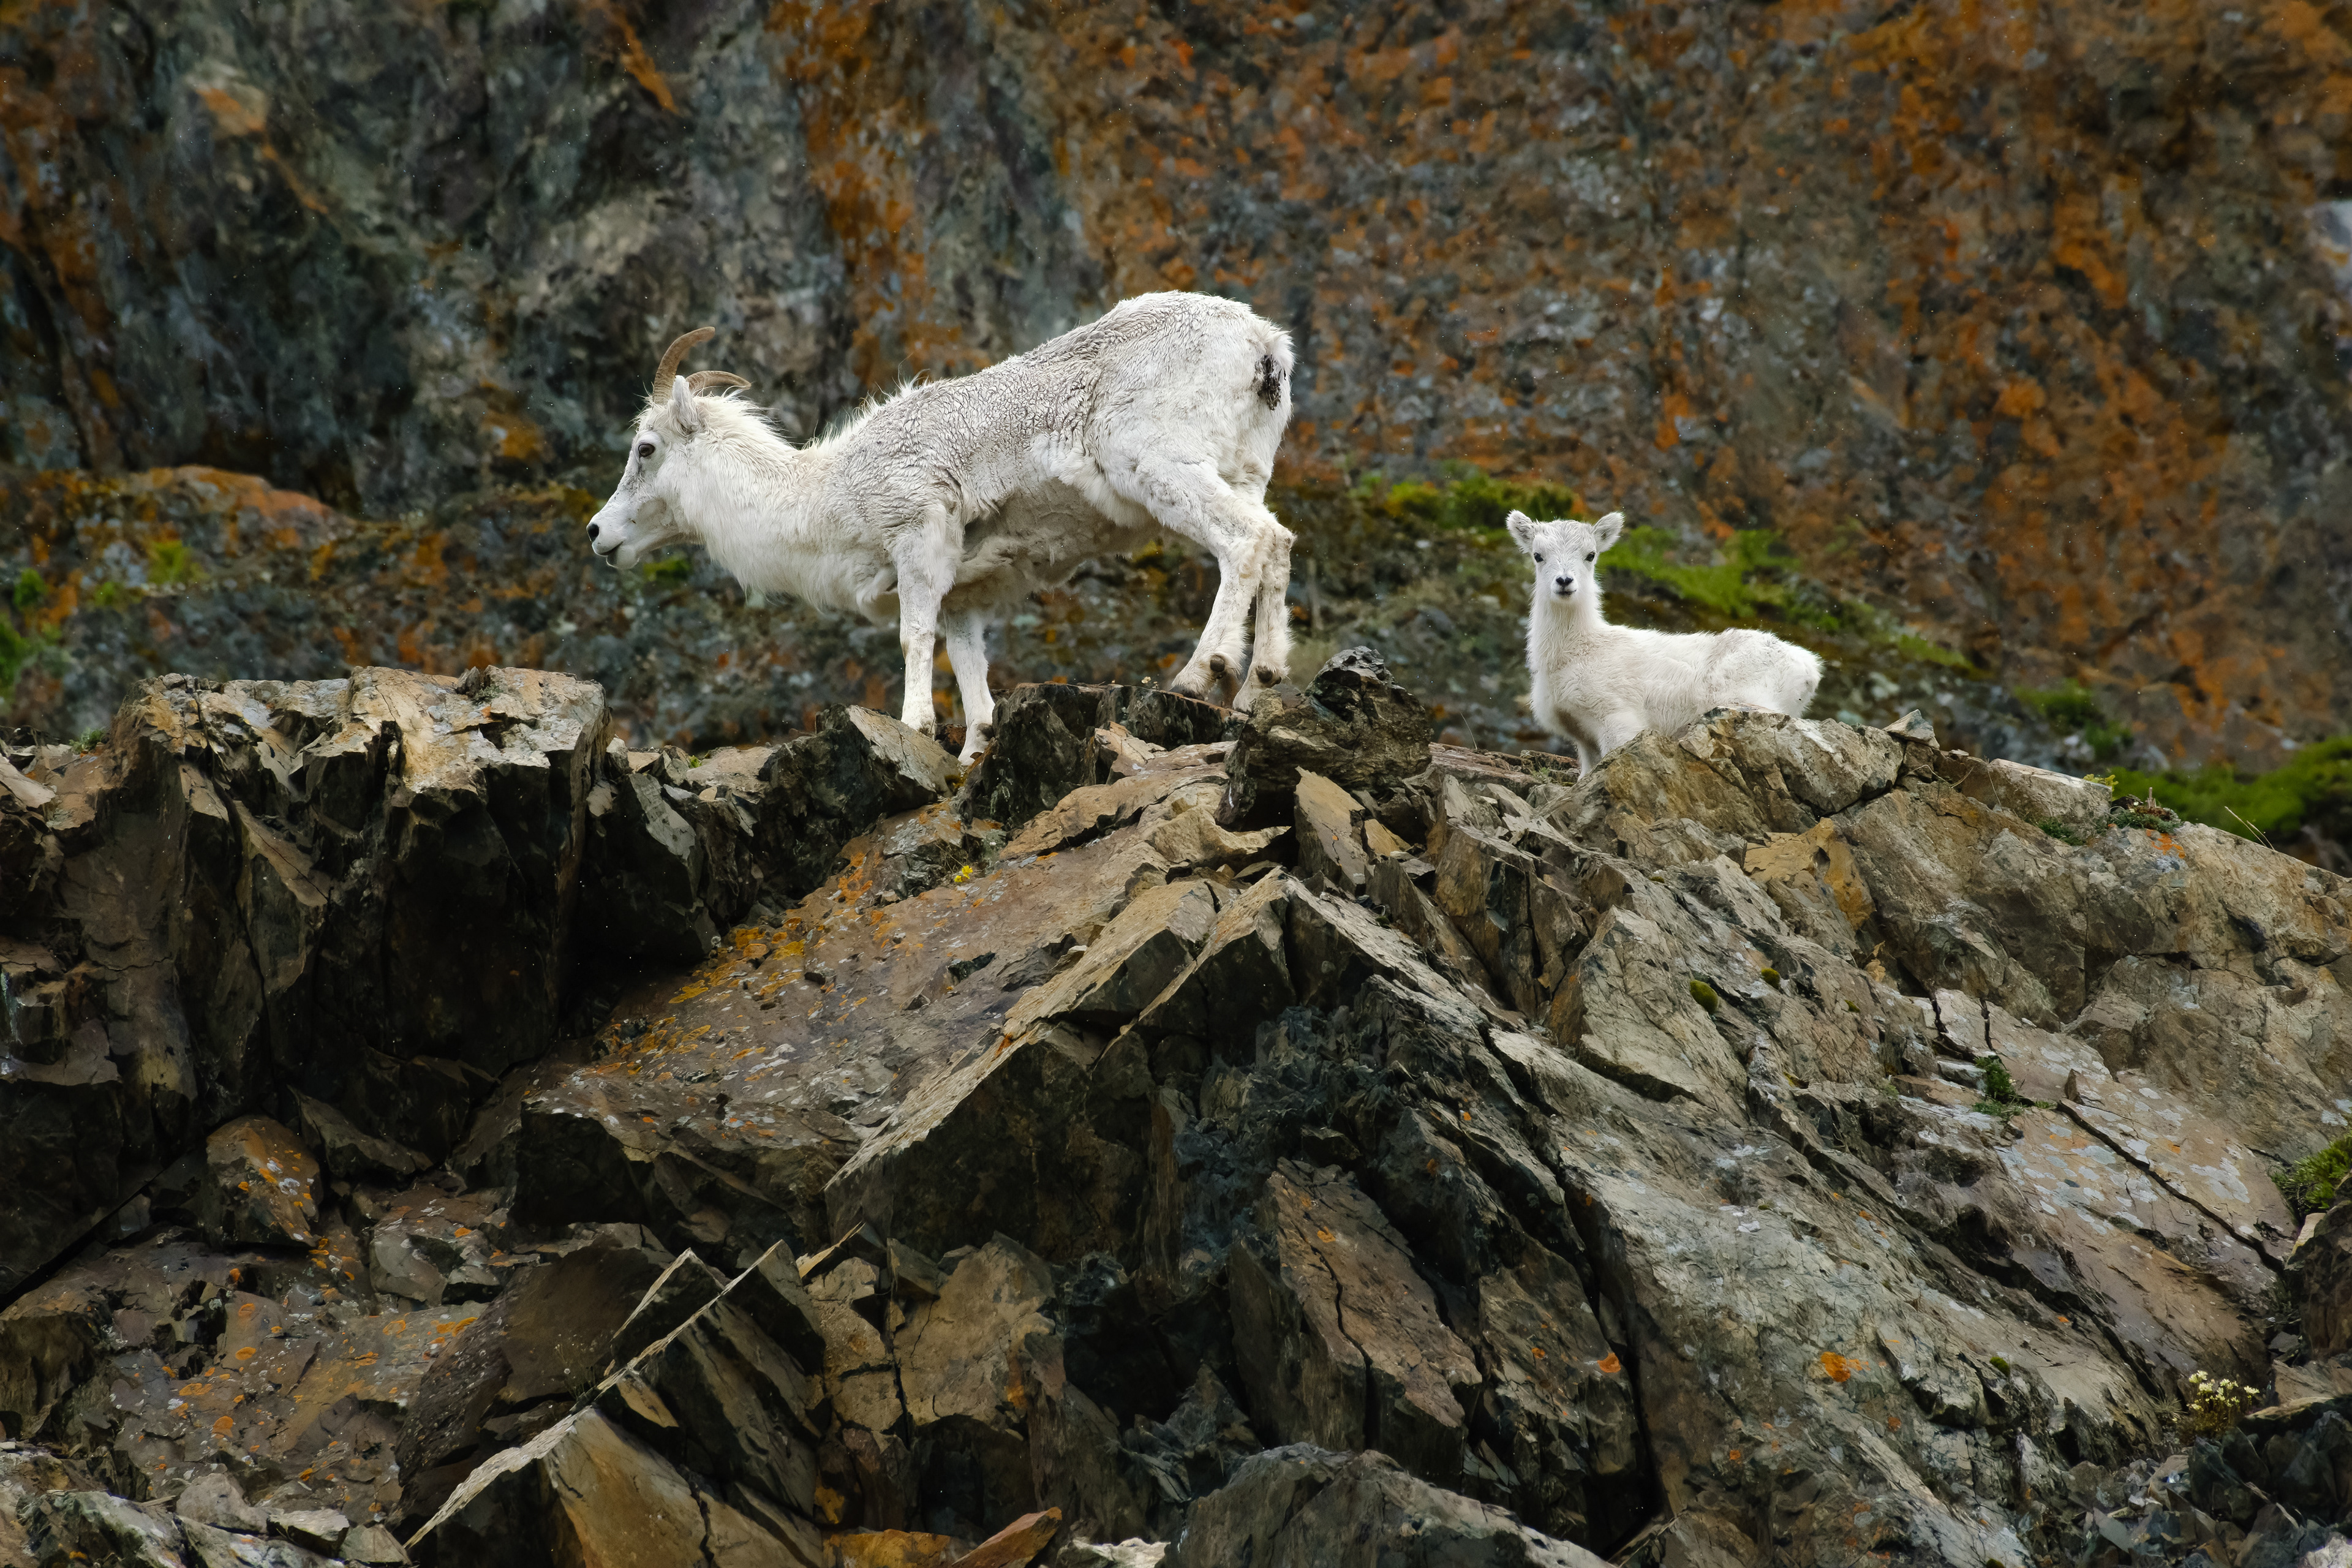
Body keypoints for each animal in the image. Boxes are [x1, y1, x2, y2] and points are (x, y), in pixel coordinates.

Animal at [584, 293, 1298, 762]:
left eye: (646, 448)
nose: (597, 533)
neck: (826, 494)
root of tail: (1264, 347)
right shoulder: (966, 600)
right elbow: (973, 681)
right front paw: (972, 756)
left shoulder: (918, 545)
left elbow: (912, 639)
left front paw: (916, 728)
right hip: (1242, 473)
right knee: (1278, 542)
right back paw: (1257, 685)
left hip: (1161, 466)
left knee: (1247, 542)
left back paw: (1199, 675)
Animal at [1508, 508, 1822, 772]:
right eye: (1538, 555)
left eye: (1591, 555)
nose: (1564, 582)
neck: (1576, 651)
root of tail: (1810, 668)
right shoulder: (1584, 739)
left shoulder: (1618, 719)